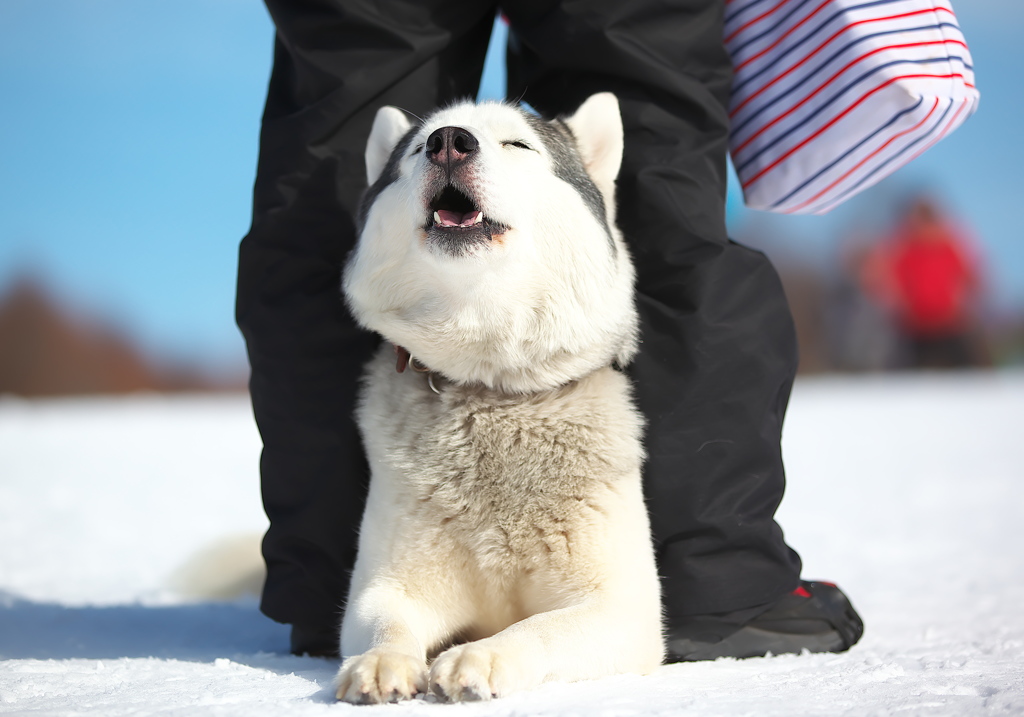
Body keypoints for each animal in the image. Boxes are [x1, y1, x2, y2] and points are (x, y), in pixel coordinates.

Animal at [335, 92, 663, 704]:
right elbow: (385, 621)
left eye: (518, 144)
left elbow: (541, 628)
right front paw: (381, 662)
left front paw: (482, 656)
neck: (491, 387)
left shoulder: (623, 612)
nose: (448, 142)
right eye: (417, 148)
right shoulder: (386, 585)